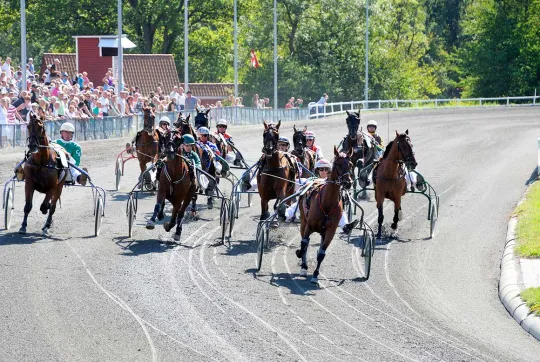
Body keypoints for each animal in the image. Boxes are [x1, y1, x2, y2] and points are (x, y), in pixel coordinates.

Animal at [296, 146, 354, 284]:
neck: (327, 203)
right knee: (304, 242)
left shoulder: (330, 231)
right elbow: (304, 243)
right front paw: (303, 265)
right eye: (337, 164)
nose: (348, 182)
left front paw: (315, 275)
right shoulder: (309, 226)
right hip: (303, 221)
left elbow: (322, 253)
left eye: (350, 164)